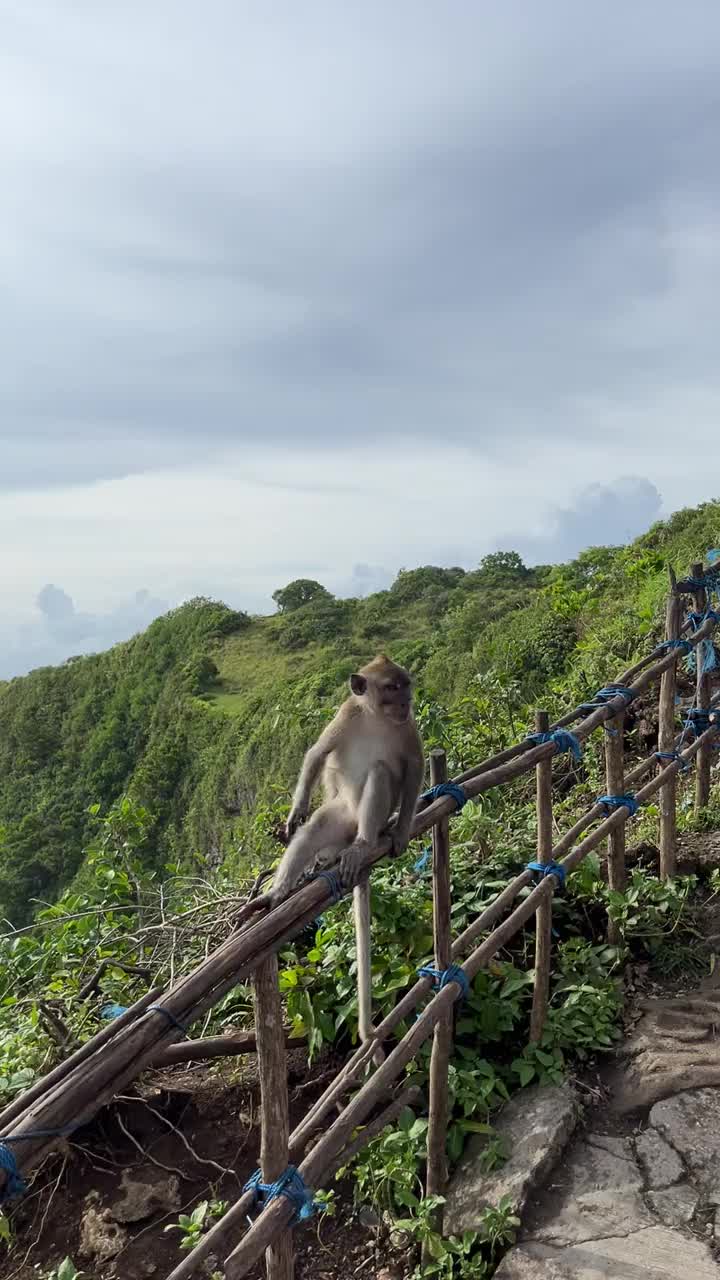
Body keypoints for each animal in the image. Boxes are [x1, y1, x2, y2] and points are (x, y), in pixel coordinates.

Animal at [271, 660, 422, 1049]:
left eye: (406, 685)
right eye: (392, 686)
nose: (407, 700)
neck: (375, 718)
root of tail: (353, 828)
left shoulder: (408, 727)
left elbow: (413, 768)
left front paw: (401, 831)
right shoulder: (346, 714)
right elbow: (317, 754)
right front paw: (296, 811)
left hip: (364, 818)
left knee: (380, 772)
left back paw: (364, 844)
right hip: (339, 815)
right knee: (314, 831)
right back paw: (279, 892)